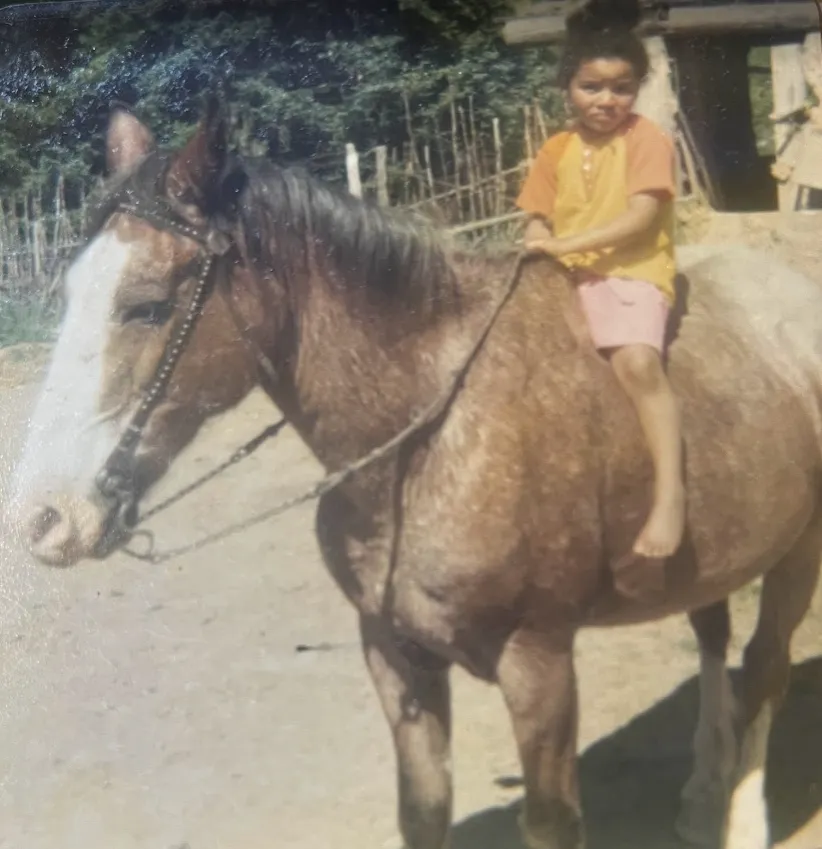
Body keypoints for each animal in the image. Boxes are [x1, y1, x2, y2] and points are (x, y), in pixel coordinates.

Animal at [8, 97, 822, 849]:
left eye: (146, 307)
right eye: (69, 295)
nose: (42, 517)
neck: (427, 431)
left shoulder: (540, 666)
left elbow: (551, 820)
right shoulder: (395, 654)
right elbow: (423, 811)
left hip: (797, 553)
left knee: (765, 668)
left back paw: (740, 818)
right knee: (714, 634)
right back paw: (702, 793)